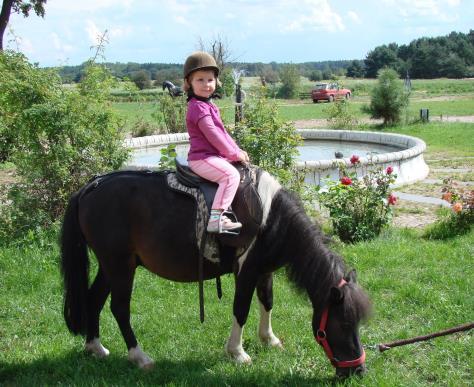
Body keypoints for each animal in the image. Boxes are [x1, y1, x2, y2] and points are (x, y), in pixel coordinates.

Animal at [60, 168, 370, 378]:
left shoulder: (264, 271)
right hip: (120, 265)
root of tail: (90, 187)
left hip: (110, 266)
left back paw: (95, 347)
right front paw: (238, 353)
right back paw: (139, 356)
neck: (271, 218)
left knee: (93, 300)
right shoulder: (246, 271)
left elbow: (267, 302)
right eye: (343, 324)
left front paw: (269, 340)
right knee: (120, 308)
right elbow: (241, 310)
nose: (358, 371)